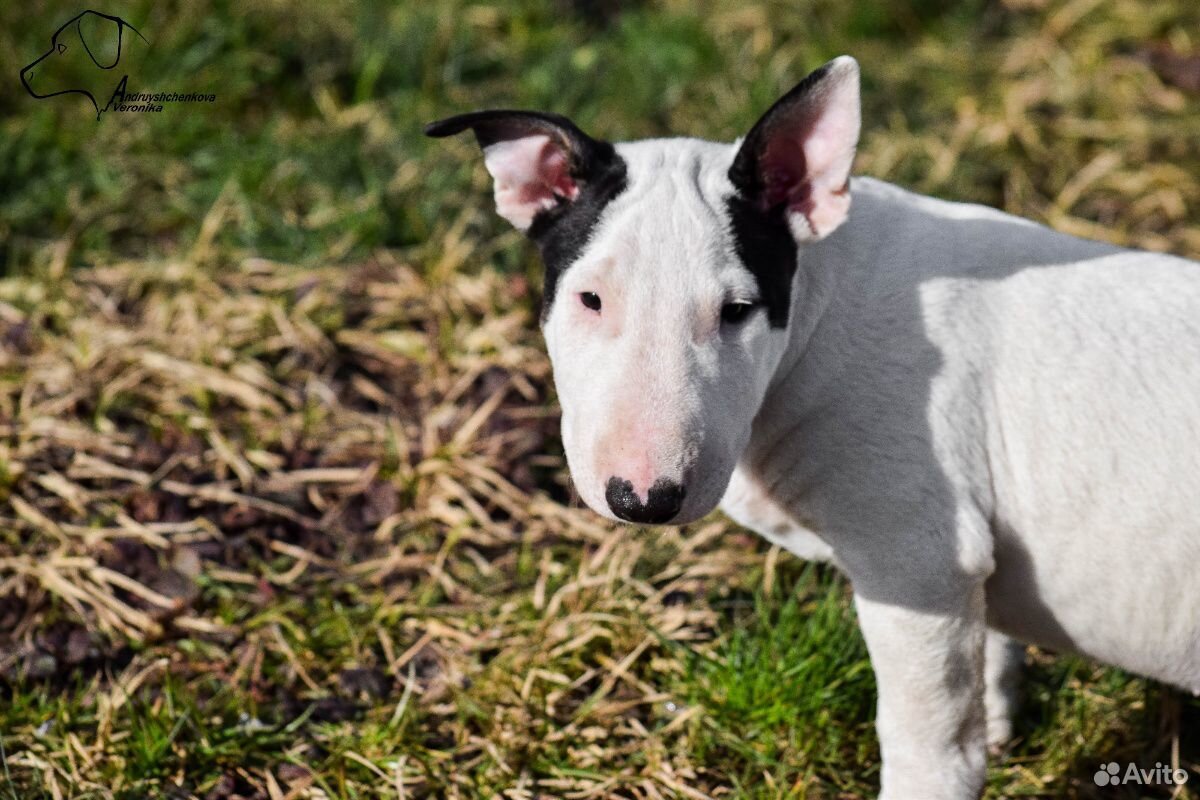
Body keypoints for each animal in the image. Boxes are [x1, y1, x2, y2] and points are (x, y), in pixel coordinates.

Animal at [429, 57, 1200, 800]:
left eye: (739, 311)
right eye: (589, 298)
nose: (642, 499)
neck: (816, 315)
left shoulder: (918, 566)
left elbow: (930, 741)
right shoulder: (969, 564)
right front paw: (1002, 714)